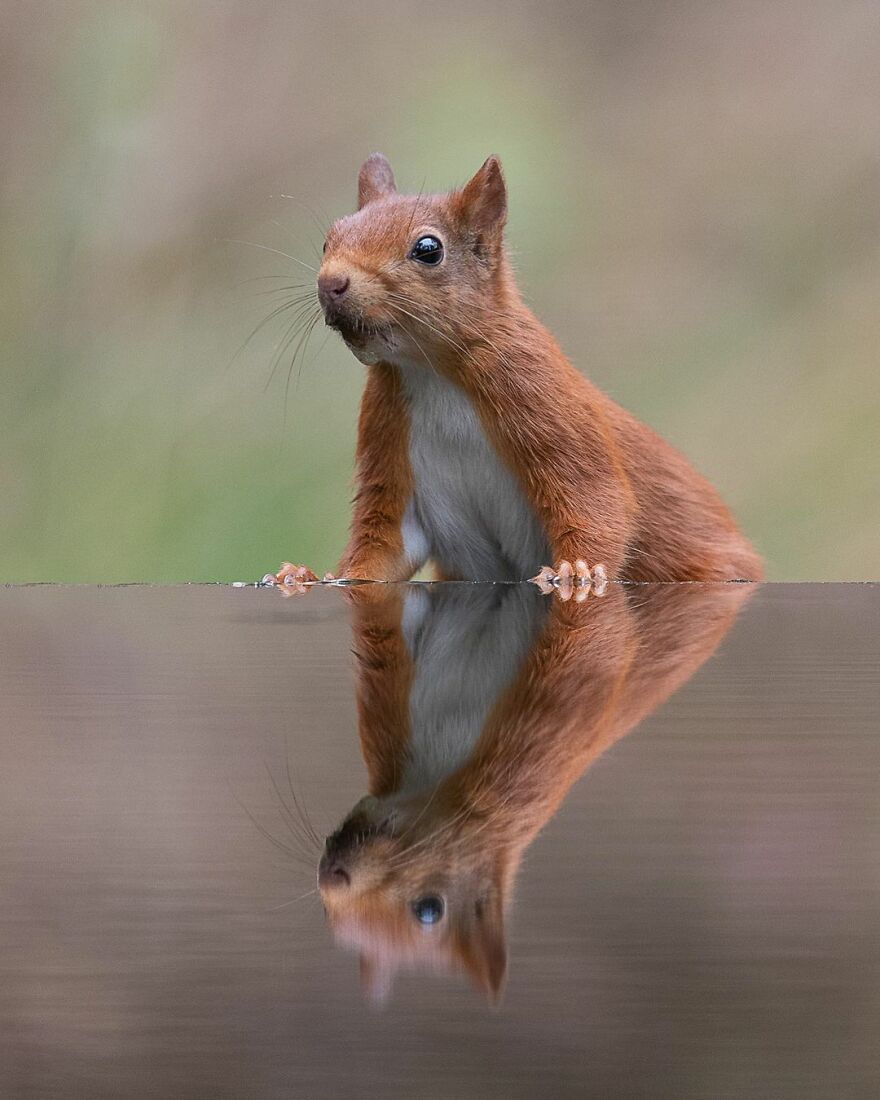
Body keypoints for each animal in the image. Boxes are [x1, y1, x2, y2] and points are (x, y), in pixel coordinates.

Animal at [268, 154, 763, 593]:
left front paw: (579, 572)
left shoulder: (546, 403)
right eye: (329, 239)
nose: (330, 283)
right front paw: (306, 576)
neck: (431, 372)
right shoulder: (388, 447)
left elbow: (598, 498)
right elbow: (382, 547)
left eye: (428, 249)